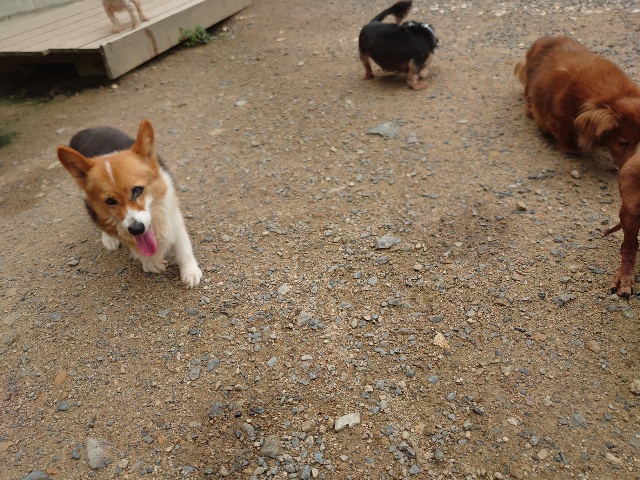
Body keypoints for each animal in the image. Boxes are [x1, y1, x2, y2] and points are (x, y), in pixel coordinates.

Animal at [56, 120, 202, 288]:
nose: (136, 229)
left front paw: (190, 272)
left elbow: (182, 247)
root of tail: (84, 131)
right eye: (110, 201)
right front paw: (150, 263)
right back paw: (109, 239)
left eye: (138, 190)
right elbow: (134, 246)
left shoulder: (172, 215)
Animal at [515, 36, 640, 168]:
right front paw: (570, 149)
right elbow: (564, 133)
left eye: (638, 141)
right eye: (622, 143)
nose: (628, 165)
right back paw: (529, 111)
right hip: (530, 81)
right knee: (527, 93)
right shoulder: (558, 116)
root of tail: (545, 39)